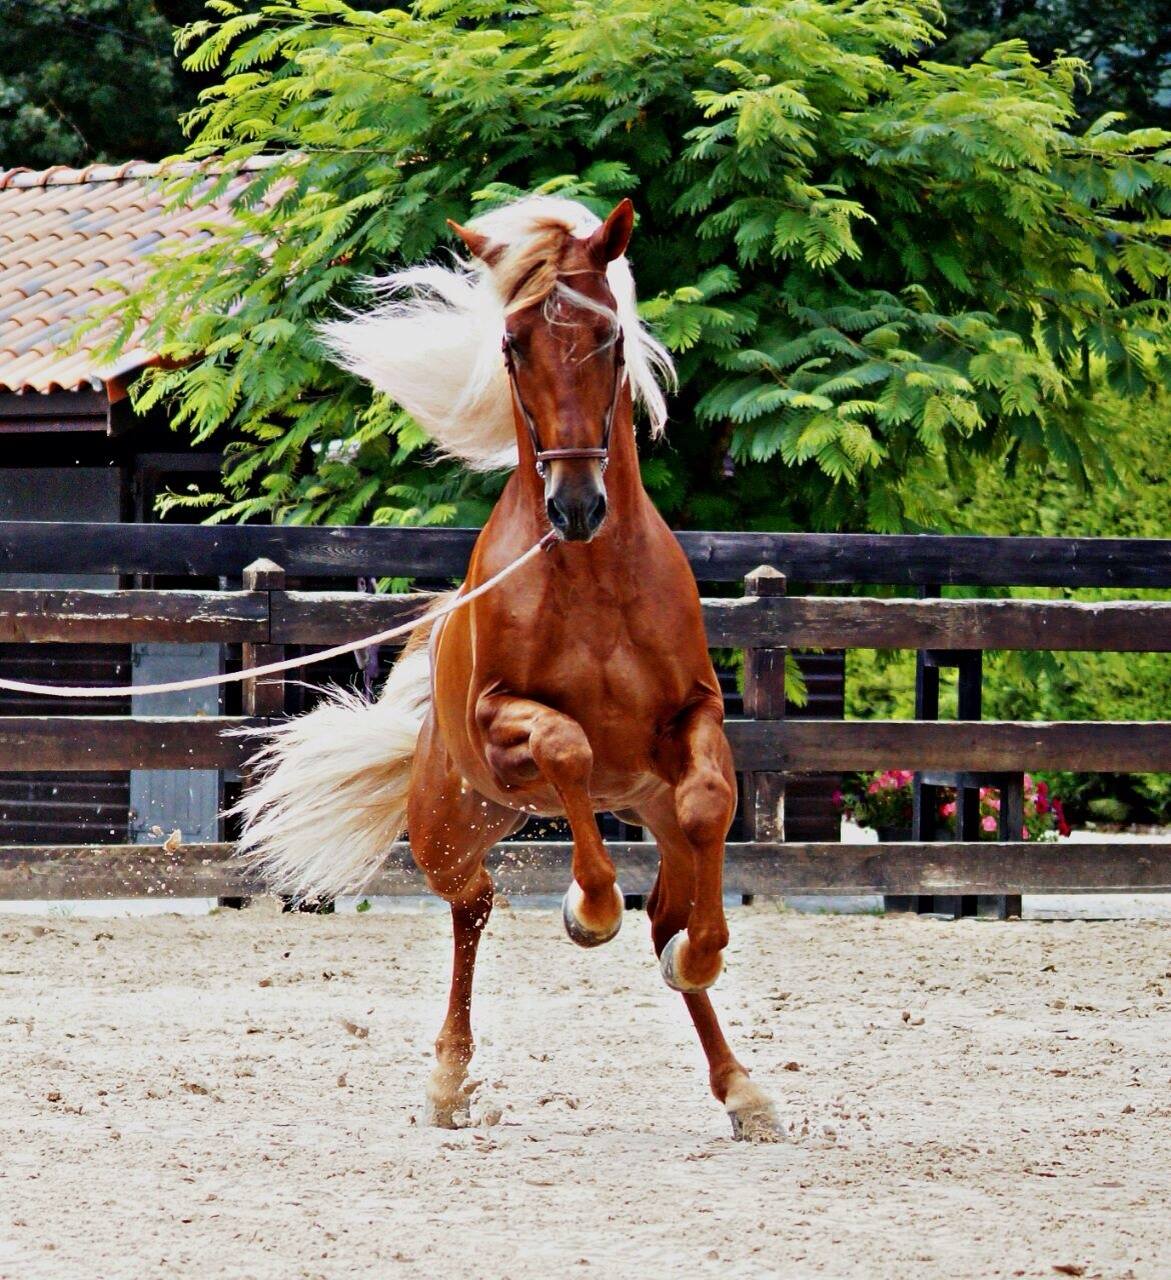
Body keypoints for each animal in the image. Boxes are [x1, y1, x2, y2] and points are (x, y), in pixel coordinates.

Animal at [238, 192, 778, 1141]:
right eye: (512, 344)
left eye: (609, 339)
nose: (575, 506)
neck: (591, 578)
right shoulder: (500, 725)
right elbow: (566, 747)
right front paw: (586, 910)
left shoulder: (693, 719)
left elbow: (709, 807)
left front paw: (700, 953)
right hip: (449, 824)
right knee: (473, 905)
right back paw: (448, 1080)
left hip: (642, 813)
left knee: (661, 912)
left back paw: (739, 1084)